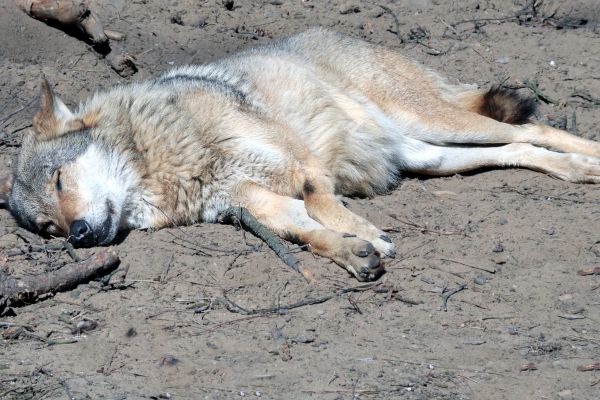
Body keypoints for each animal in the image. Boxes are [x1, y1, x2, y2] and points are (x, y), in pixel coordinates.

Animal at [1, 28, 600, 282]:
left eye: (59, 180)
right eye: (49, 228)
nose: (79, 236)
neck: (164, 159)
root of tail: (339, 33)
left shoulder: (299, 163)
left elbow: (320, 200)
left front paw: (363, 230)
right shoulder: (251, 204)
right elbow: (307, 231)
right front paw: (354, 251)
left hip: (435, 122)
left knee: (537, 126)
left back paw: (590, 158)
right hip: (432, 157)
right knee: (520, 146)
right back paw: (573, 172)